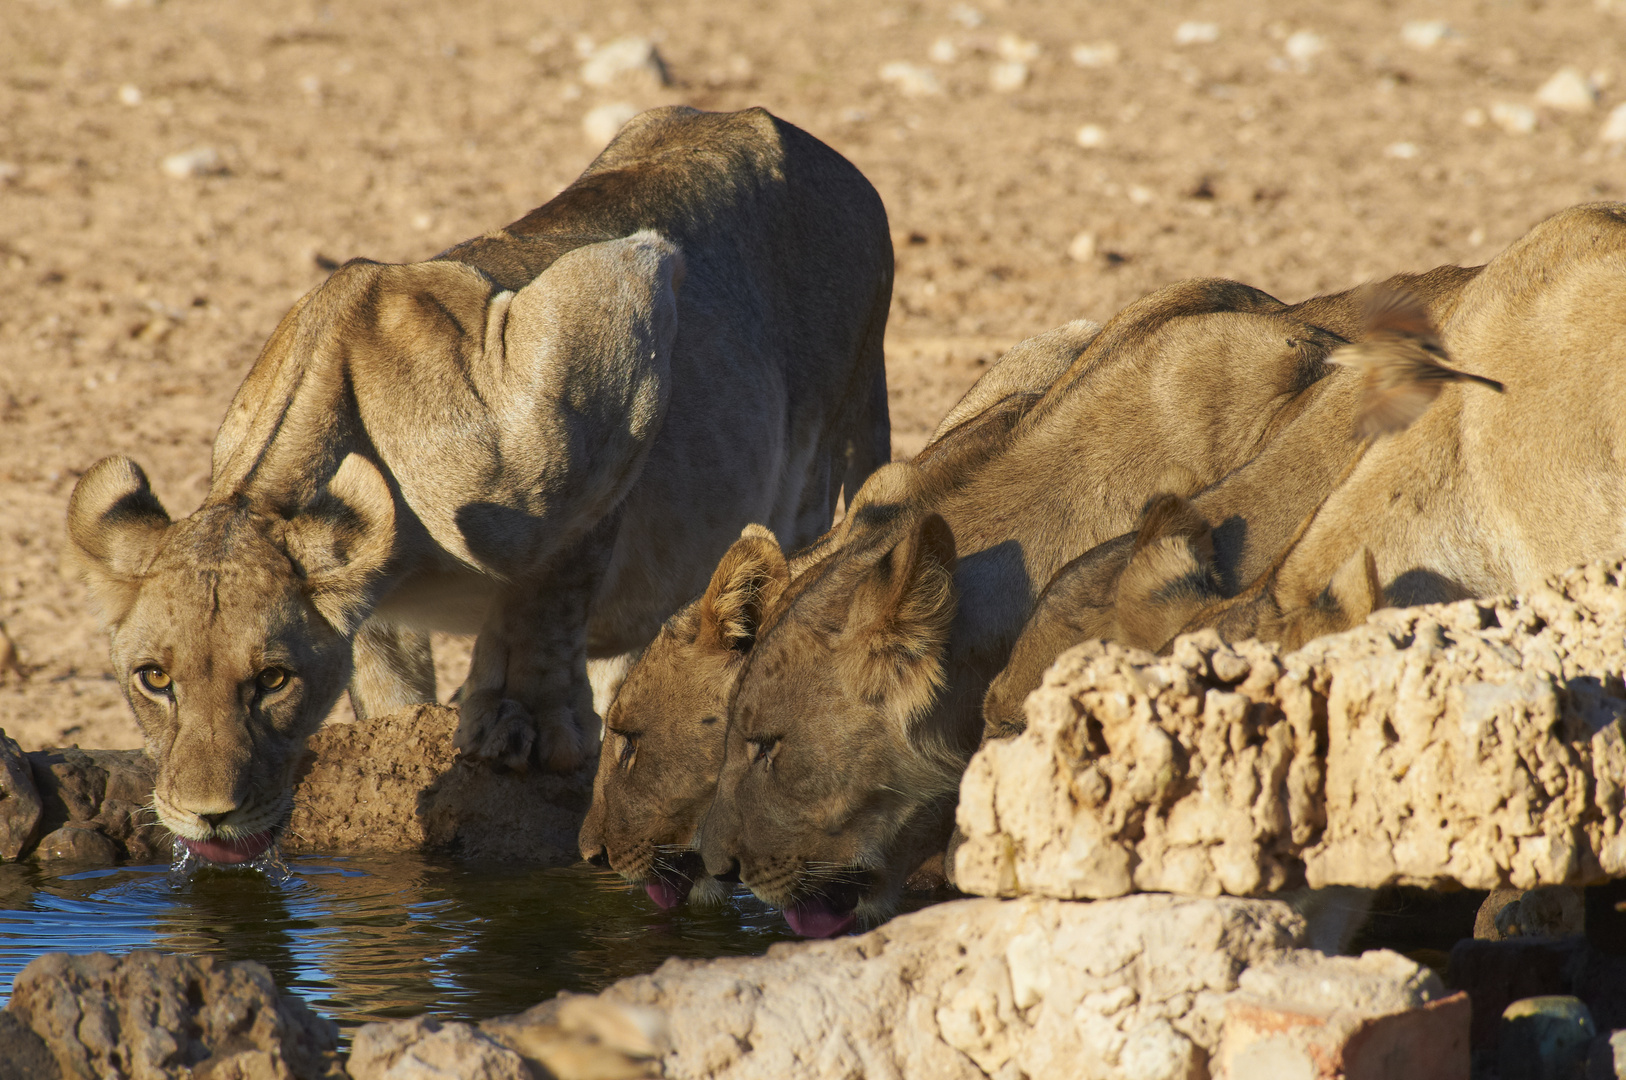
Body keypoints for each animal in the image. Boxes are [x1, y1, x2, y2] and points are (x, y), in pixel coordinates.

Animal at [69, 107, 897, 871]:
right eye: (154, 679)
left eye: (273, 679)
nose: (207, 816)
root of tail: (832, 160)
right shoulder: (375, 613)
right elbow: (394, 688)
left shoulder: (617, 344)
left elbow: (547, 593)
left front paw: (531, 723)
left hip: (821, 460)